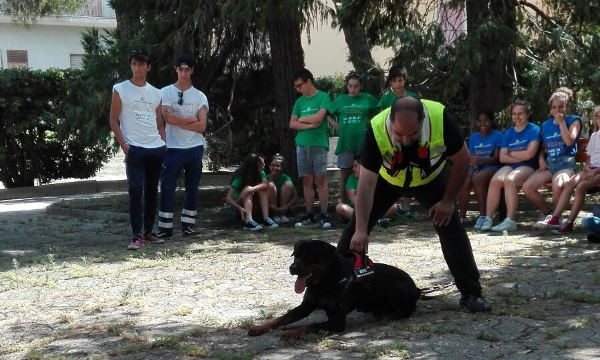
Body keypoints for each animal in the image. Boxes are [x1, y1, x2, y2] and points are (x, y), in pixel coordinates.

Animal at [246, 239, 420, 338]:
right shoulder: (306, 306)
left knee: (408, 310)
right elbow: (282, 318)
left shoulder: (337, 321)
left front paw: (291, 332)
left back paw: (389, 315)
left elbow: (311, 325)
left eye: (309, 257)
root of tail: (418, 289)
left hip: (397, 288)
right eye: (295, 255)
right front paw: (259, 328)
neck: (324, 283)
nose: (292, 268)